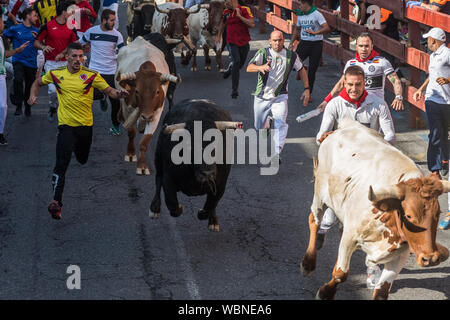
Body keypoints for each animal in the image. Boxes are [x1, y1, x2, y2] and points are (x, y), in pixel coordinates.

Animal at [115, 37, 180, 175]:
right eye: (137, 91)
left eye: (157, 92)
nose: (146, 116)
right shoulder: (127, 108)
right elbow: (131, 132)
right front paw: (130, 154)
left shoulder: (156, 114)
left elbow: (145, 141)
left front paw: (143, 166)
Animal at [150, 99, 243, 231]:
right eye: (189, 145)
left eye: (218, 143)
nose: (207, 173)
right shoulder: (168, 178)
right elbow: (172, 204)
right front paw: (180, 208)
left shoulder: (221, 184)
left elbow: (211, 204)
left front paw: (204, 215)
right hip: (158, 157)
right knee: (158, 178)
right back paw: (154, 209)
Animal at [302, 119, 450, 300]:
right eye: (409, 216)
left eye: (438, 214)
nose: (431, 258)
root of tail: (346, 125)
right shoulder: (350, 237)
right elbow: (340, 274)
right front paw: (325, 293)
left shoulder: (400, 254)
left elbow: (382, 291)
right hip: (320, 194)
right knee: (314, 220)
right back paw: (308, 264)